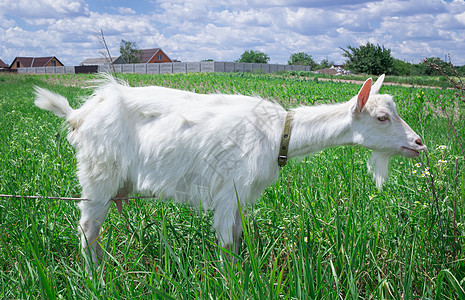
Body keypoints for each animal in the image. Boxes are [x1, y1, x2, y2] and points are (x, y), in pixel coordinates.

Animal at [33, 74, 424, 270]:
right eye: (381, 117)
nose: (419, 143)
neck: (278, 132)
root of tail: (78, 115)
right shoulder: (229, 190)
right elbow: (225, 242)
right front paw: (231, 280)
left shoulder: (239, 197)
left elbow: (237, 238)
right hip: (98, 174)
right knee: (87, 226)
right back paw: (95, 275)